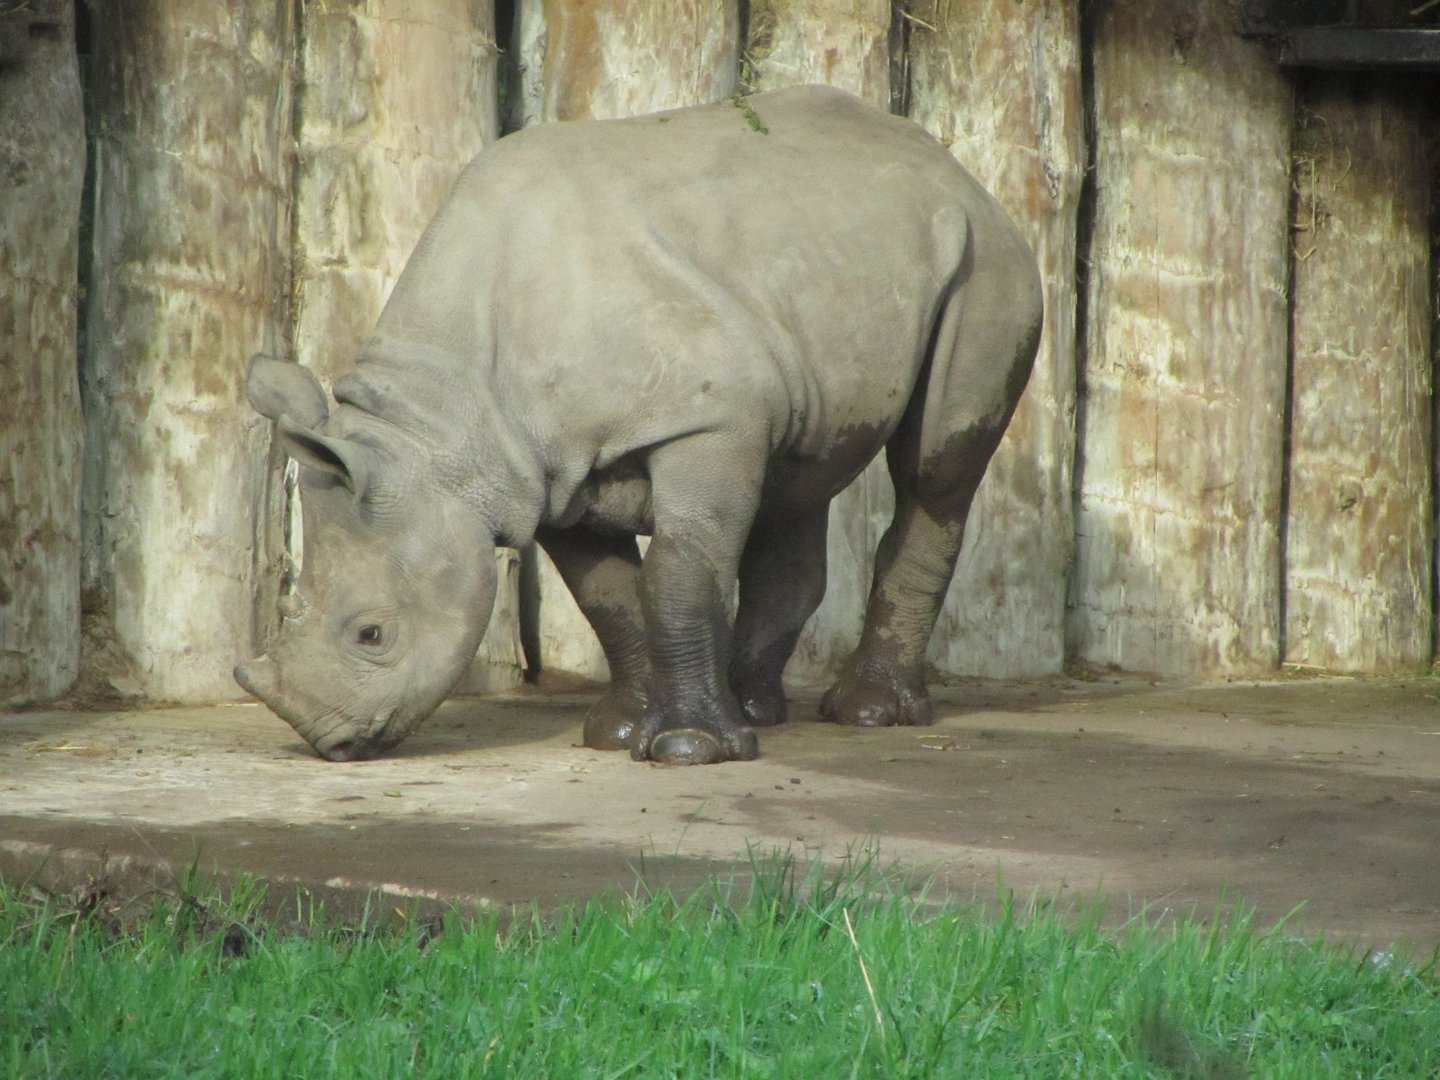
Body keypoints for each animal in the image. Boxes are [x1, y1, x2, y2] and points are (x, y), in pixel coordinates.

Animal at [234, 85, 1042, 766]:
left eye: (372, 634)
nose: (329, 742)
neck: (438, 426)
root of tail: (952, 166)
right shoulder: (543, 471)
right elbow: (609, 595)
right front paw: (619, 732)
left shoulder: (707, 419)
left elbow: (679, 574)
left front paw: (688, 750)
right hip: (828, 259)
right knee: (797, 476)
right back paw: (757, 709)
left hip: (985, 259)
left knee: (933, 471)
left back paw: (867, 713)